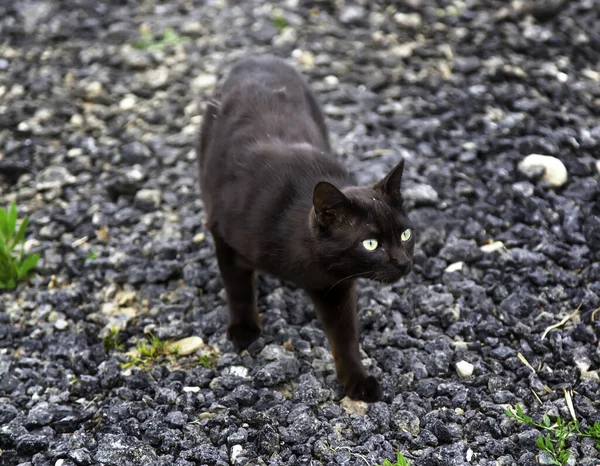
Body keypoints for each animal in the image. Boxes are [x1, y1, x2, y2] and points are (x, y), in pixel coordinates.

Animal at [197, 54, 412, 400]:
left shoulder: (334, 285)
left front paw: (357, 381)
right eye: (371, 244)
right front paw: (244, 330)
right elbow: (238, 288)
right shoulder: (225, 238)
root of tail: (257, 57)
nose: (404, 263)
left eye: (405, 235)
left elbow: (345, 337)